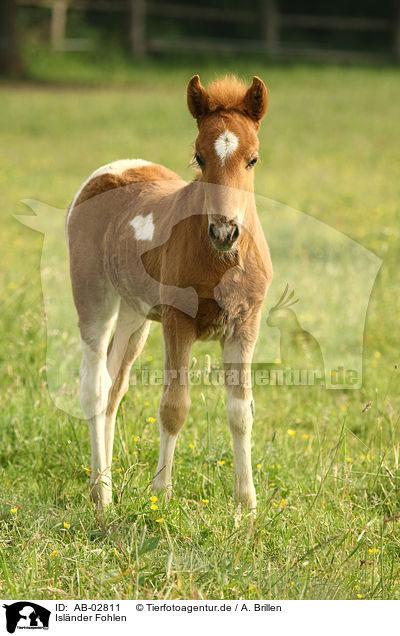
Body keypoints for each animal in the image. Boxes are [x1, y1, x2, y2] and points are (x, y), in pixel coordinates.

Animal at [68, 76, 272, 512]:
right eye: (199, 157)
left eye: (253, 160)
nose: (224, 231)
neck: (221, 261)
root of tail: (115, 167)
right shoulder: (178, 322)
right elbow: (174, 407)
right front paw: (161, 492)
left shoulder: (245, 325)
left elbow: (241, 411)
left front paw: (246, 503)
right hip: (94, 295)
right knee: (94, 387)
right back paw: (102, 495)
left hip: (135, 315)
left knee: (114, 388)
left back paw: (103, 481)